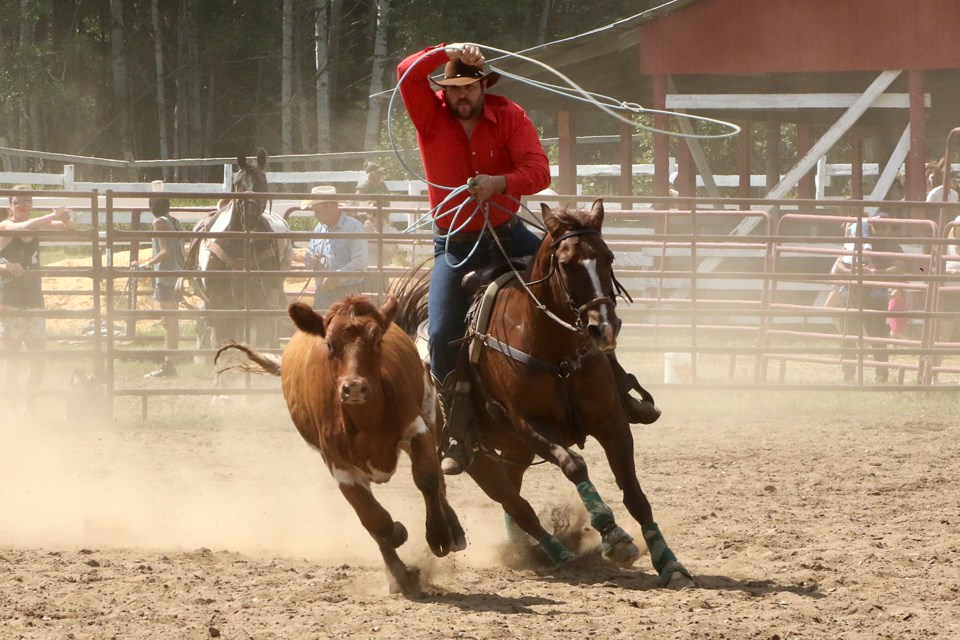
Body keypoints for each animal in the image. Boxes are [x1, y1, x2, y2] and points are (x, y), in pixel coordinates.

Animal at [221, 298, 468, 596]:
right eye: (329, 344)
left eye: (377, 340)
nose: (355, 388)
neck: (366, 419)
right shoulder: (339, 466)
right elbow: (373, 518)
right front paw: (398, 542)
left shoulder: (416, 427)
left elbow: (428, 479)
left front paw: (439, 535)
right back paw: (399, 573)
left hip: (430, 414)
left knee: (440, 482)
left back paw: (453, 531)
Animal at [398, 200, 688, 592]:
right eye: (565, 264)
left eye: (608, 256)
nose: (604, 327)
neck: (555, 350)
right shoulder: (530, 425)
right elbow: (574, 465)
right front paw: (613, 535)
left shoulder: (611, 422)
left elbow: (635, 493)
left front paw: (668, 561)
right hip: (479, 458)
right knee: (514, 502)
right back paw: (555, 552)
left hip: (514, 450)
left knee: (515, 496)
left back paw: (528, 547)